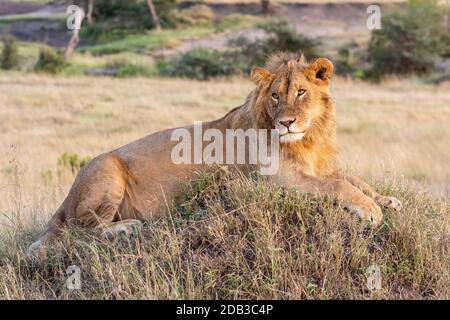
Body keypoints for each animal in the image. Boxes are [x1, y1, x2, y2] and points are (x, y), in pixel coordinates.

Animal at [28, 52, 400, 256]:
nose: (286, 122)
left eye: (301, 92)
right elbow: (337, 185)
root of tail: (65, 199)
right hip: (106, 167)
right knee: (80, 230)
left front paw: (386, 198)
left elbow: (353, 178)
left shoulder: (319, 166)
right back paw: (127, 227)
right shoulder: (276, 180)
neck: (309, 139)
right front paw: (371, 210)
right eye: (276, 96)